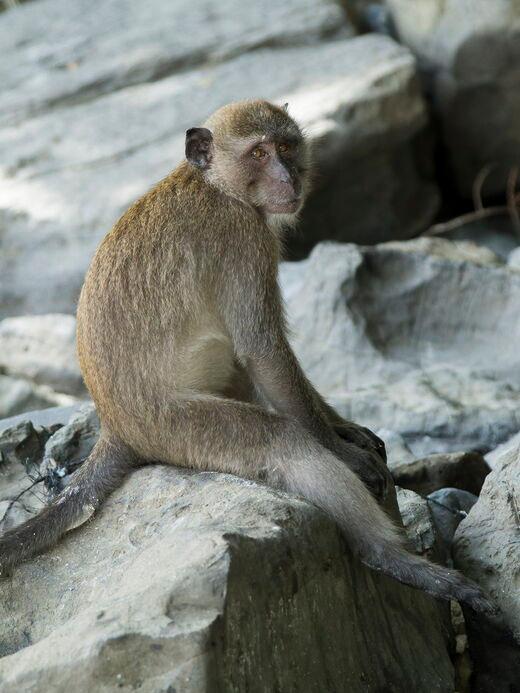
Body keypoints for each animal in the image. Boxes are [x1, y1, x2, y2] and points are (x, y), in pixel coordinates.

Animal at [0, 99, 494, 615]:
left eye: (286, 147)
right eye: (258, 152)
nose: (288, 178)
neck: (216, 185)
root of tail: (114, 425)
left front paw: (344, 427)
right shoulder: (242, 238)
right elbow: (263, 349)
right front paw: (341, 449)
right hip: (172, 427)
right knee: (280, 439)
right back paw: (389, 556)